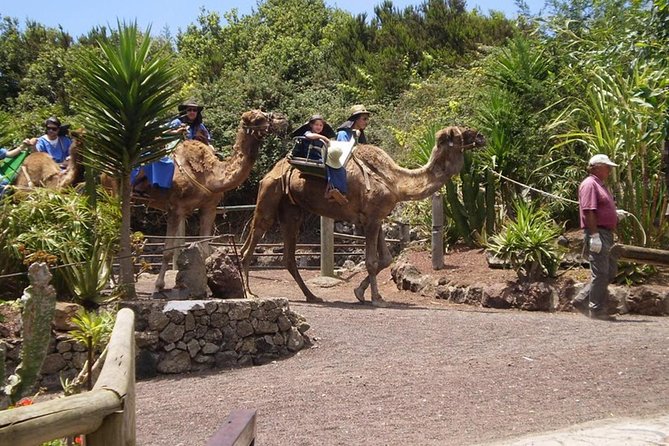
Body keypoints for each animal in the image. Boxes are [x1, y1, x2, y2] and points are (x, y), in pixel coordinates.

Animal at [139, 110, 288, 293]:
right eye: (258, 118)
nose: (282, 119)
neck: (209, 176)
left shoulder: (208, 208)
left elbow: (204, 249)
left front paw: (209, 286)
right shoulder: (175, 208)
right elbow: (168, 250)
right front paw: (159, 286)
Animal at [240, 126, 485, 306]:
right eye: (462, 132)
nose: (481, 136)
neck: (396, 182)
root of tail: (272, 170)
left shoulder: (375, 218)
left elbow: (385, 259)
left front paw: (359, 292)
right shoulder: (372, 220)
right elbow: (371, 261)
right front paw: (375, 299)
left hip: (292, 210)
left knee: (289, 257)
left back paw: (312, 296)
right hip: (269, 195)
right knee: (250, 243)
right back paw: (249, 294)